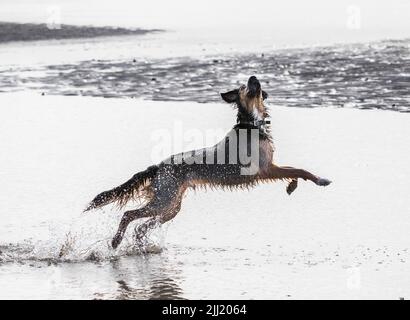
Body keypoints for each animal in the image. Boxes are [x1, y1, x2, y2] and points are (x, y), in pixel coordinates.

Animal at [85, 76, 332, 249]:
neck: (251, 123)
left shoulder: (272, 165)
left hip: (171, 205)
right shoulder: (265, 169)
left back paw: (141, 246)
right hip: (164, 201)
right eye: (244, 87)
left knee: (141, 227)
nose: (253, 76)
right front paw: (321, 180)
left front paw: (292, 186)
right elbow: (300, 169)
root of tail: (158, 166)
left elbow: (294, 170)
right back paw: (116, 242)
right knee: (129, 215)